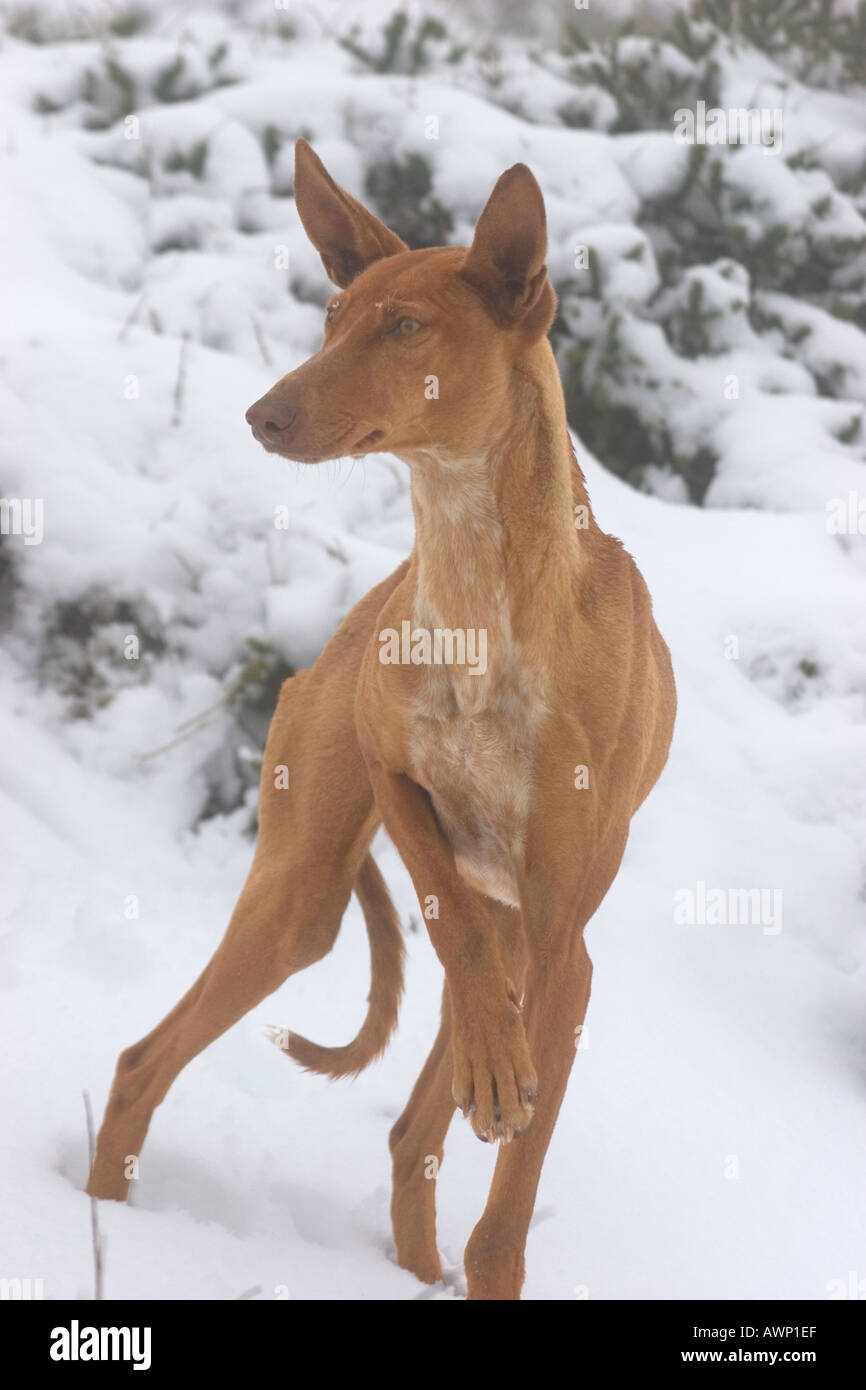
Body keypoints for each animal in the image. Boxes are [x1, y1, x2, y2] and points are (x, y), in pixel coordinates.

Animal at [88, 143, 678, 1301]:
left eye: (406, 327)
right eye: (331, 316)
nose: (263, 415)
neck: (477, 585)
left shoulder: (564, 947)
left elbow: (502, 1230)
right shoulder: (393, 777)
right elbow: (447, 907)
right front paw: (492, 1058)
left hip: (514, 940)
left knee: (415, 1136)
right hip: (300, 897)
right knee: (145, 1064)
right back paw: (96, 1222)